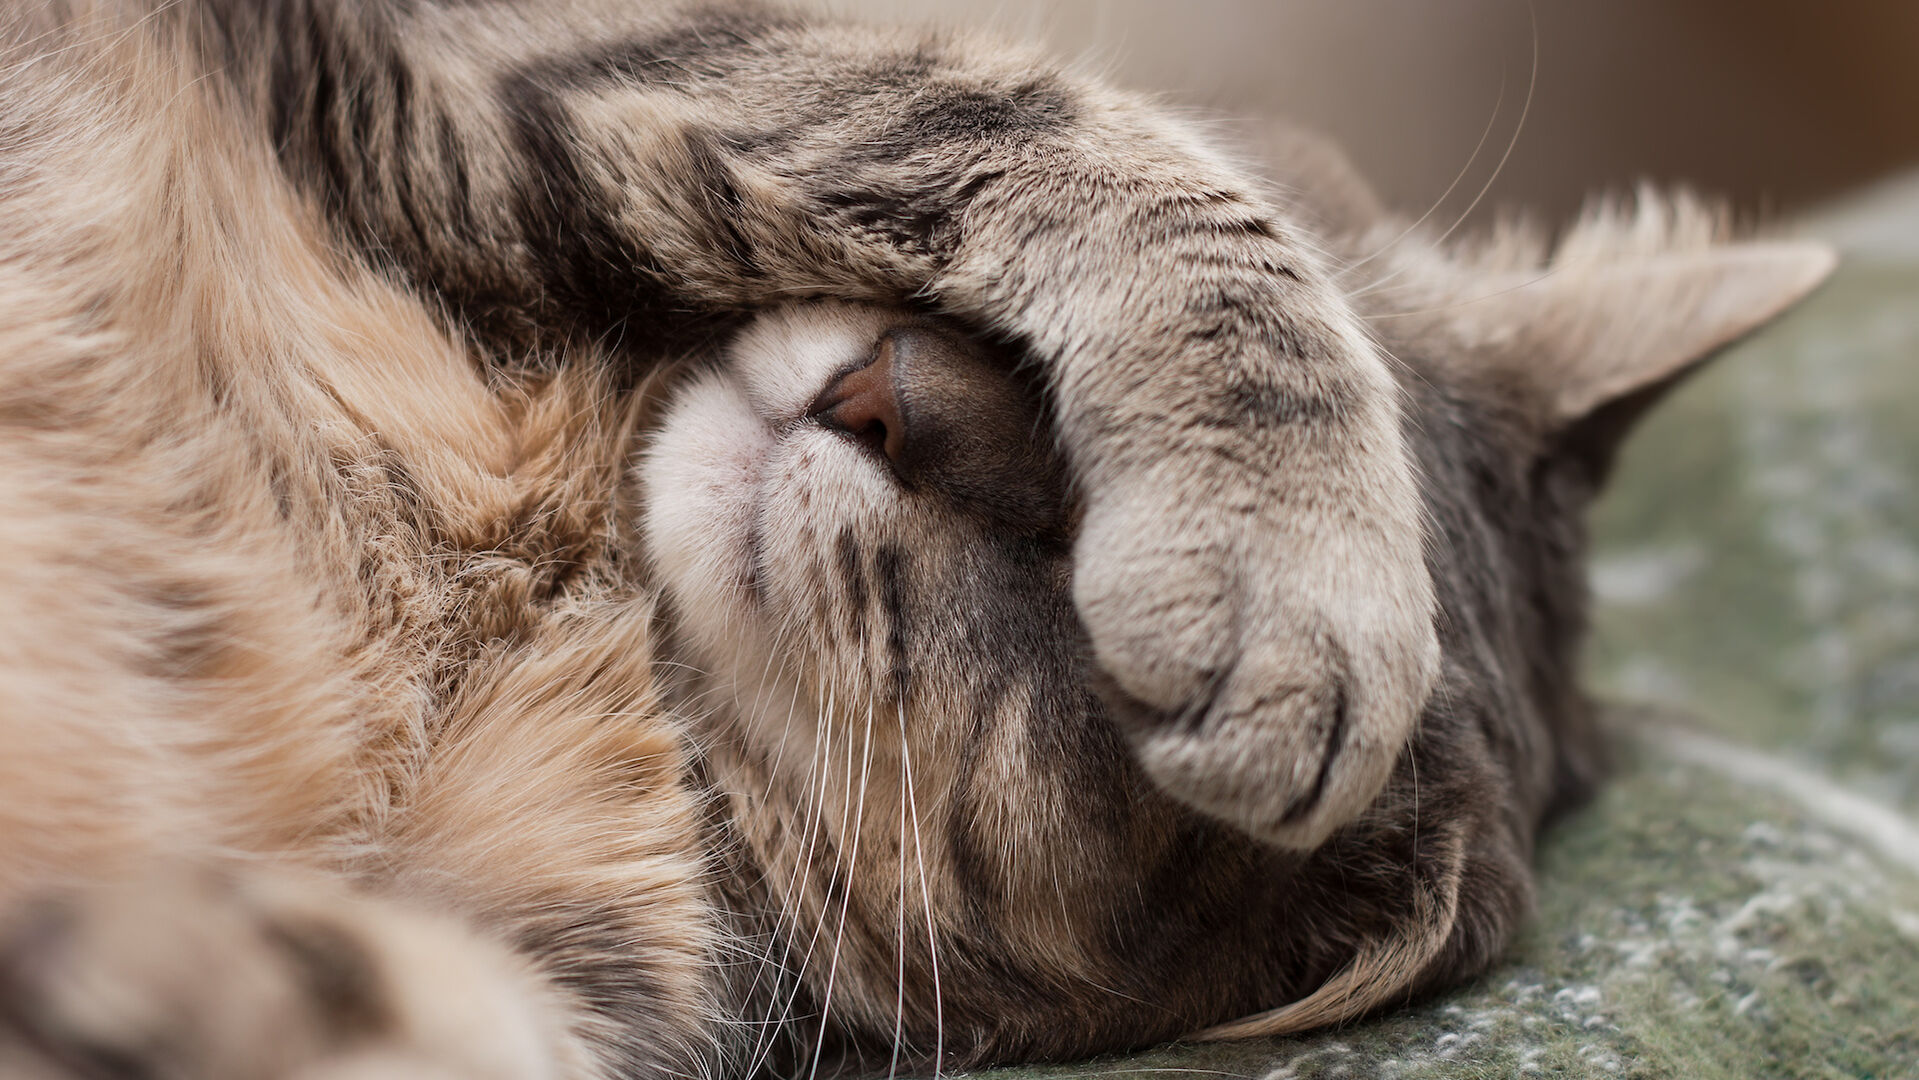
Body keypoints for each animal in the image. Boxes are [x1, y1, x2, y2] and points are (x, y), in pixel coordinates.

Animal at [0, 2, 1834, 1080]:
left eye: (1075, 655)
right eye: (1022, 367)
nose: (890, 404)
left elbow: (419, 1010)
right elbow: (1013, 115)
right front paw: (1303, 562)